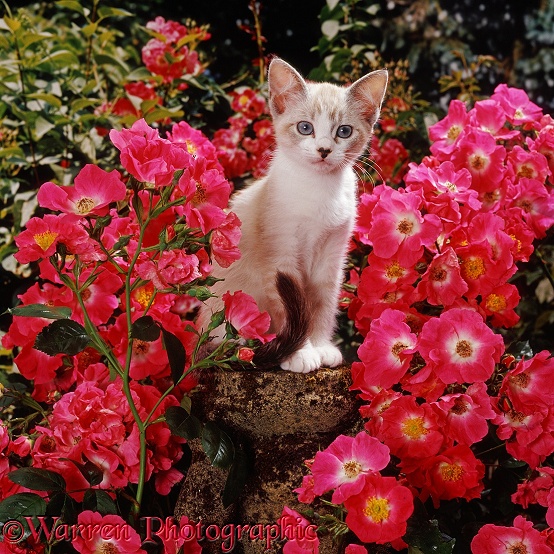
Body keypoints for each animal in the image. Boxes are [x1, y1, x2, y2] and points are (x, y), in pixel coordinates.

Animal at [196, 57, 386, 370]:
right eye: (305, 127)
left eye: (344, 131)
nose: (324, 149)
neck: (318, 190)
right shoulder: (279, 257)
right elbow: (290, 310)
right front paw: (301, 353)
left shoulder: (331, 257)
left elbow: (323, 302)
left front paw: (321, 347)